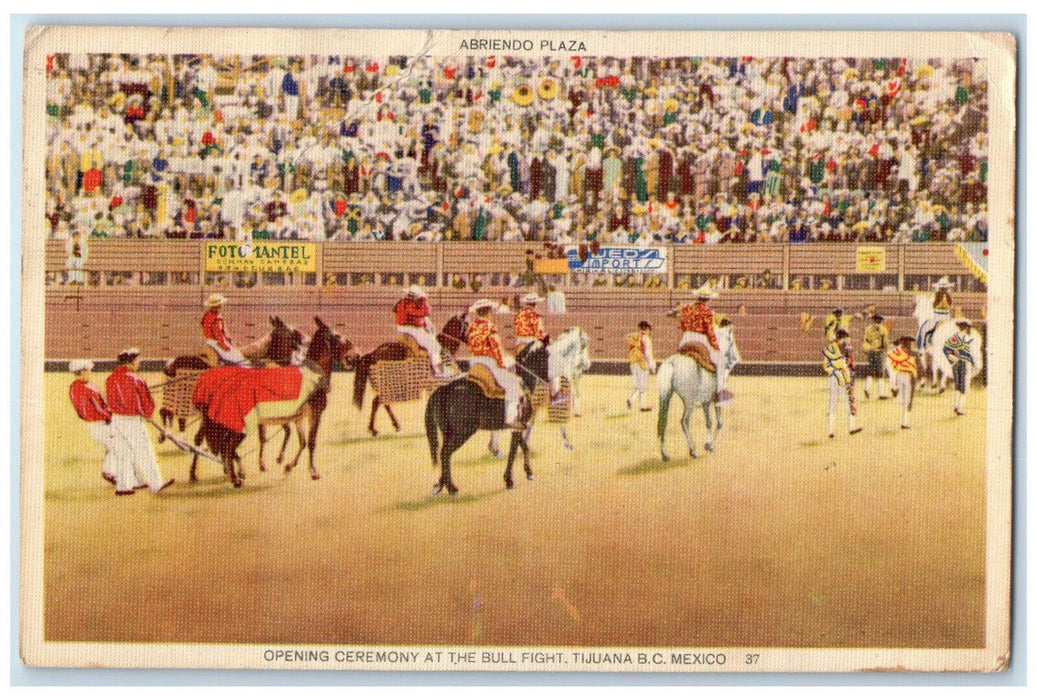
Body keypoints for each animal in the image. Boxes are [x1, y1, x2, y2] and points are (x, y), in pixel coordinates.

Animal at [423, 340, 551, 497]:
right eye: (546, 355)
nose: (549, 380)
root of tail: (444, 389)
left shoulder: (518, 426)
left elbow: (523, 447)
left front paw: (528, 473)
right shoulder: (517, 426)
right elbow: (514, 450)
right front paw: (510, 480)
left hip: (449, 433)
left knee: (444, 455)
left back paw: (442, 485)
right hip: (463, 433)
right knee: (445, 453)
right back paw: (452, 489)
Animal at [655, 323, 738, 464]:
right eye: (731, 342)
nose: (734, 359)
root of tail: (672, 363)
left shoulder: (706, 402)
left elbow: (709, 422)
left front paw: (708, 445)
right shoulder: (715, 401)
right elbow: (719, 423)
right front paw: (709, 445)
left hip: (665, 396)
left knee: (663, 421)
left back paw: (664, 454)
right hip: (689, 402)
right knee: (684, 421)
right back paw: (693, 450)